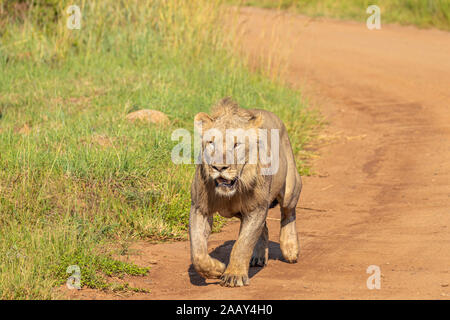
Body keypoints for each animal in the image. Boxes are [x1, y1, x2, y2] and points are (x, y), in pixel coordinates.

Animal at [188, 97, 300, 288]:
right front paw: (216, 269)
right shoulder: (199, 208)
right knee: (264, 228)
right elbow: (198, 253)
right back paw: (258, 257)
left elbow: (242, 244)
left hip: (290, 189)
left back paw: (290, 248)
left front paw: (234, 275)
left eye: (236, 144)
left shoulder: (256, 209)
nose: (219, 167)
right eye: (211, 143)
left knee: (288, 213)